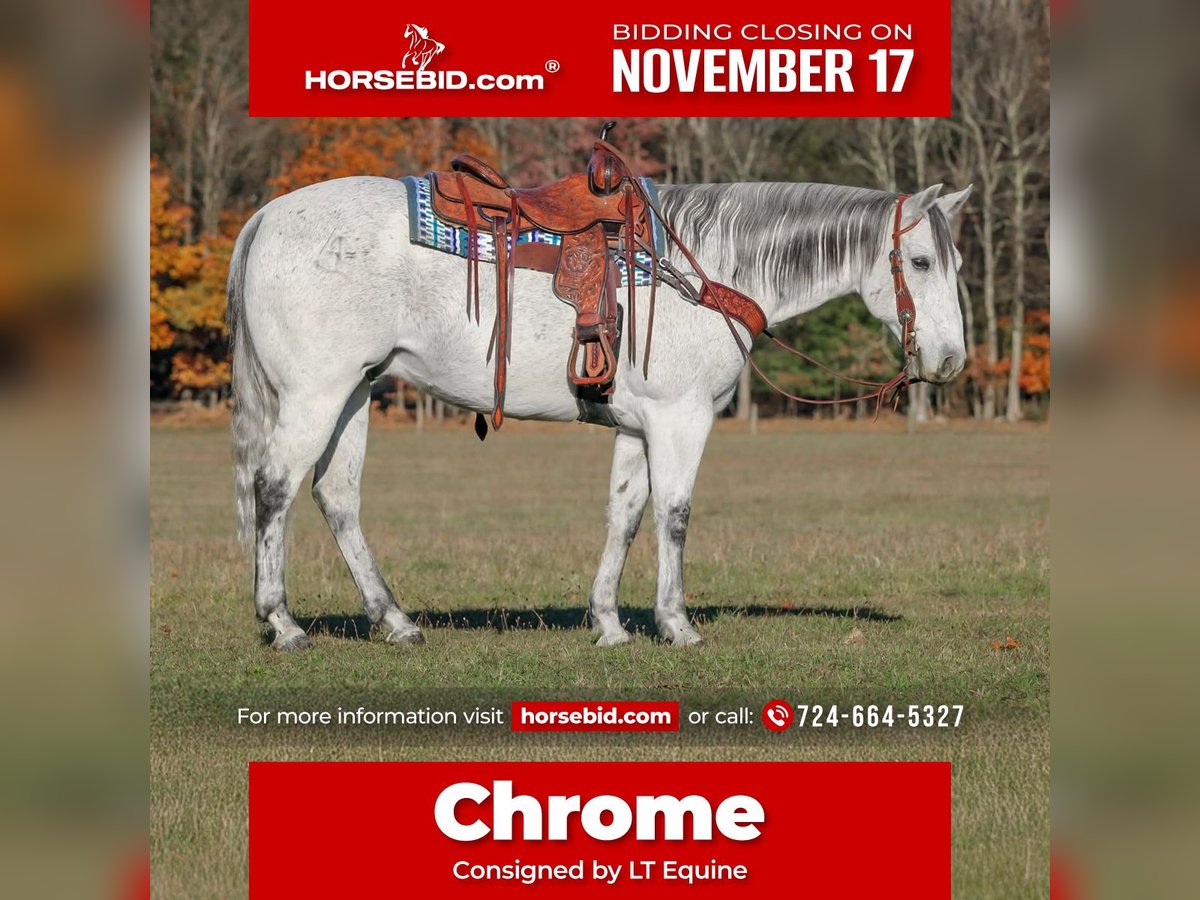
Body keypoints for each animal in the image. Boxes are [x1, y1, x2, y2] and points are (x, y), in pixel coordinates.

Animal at [226, 175, 972, 650]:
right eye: (920, 261)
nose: (950, 360)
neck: (705, 268)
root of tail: (269, 216)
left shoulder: (639, 429)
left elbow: (626, 516)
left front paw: (609, 623)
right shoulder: (680, 418)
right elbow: (675, 515)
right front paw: (676, 623)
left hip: (353, 394)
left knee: (337, 496)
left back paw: (396, 621)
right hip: (315, 396)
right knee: (275, 489)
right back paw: (283, 623)